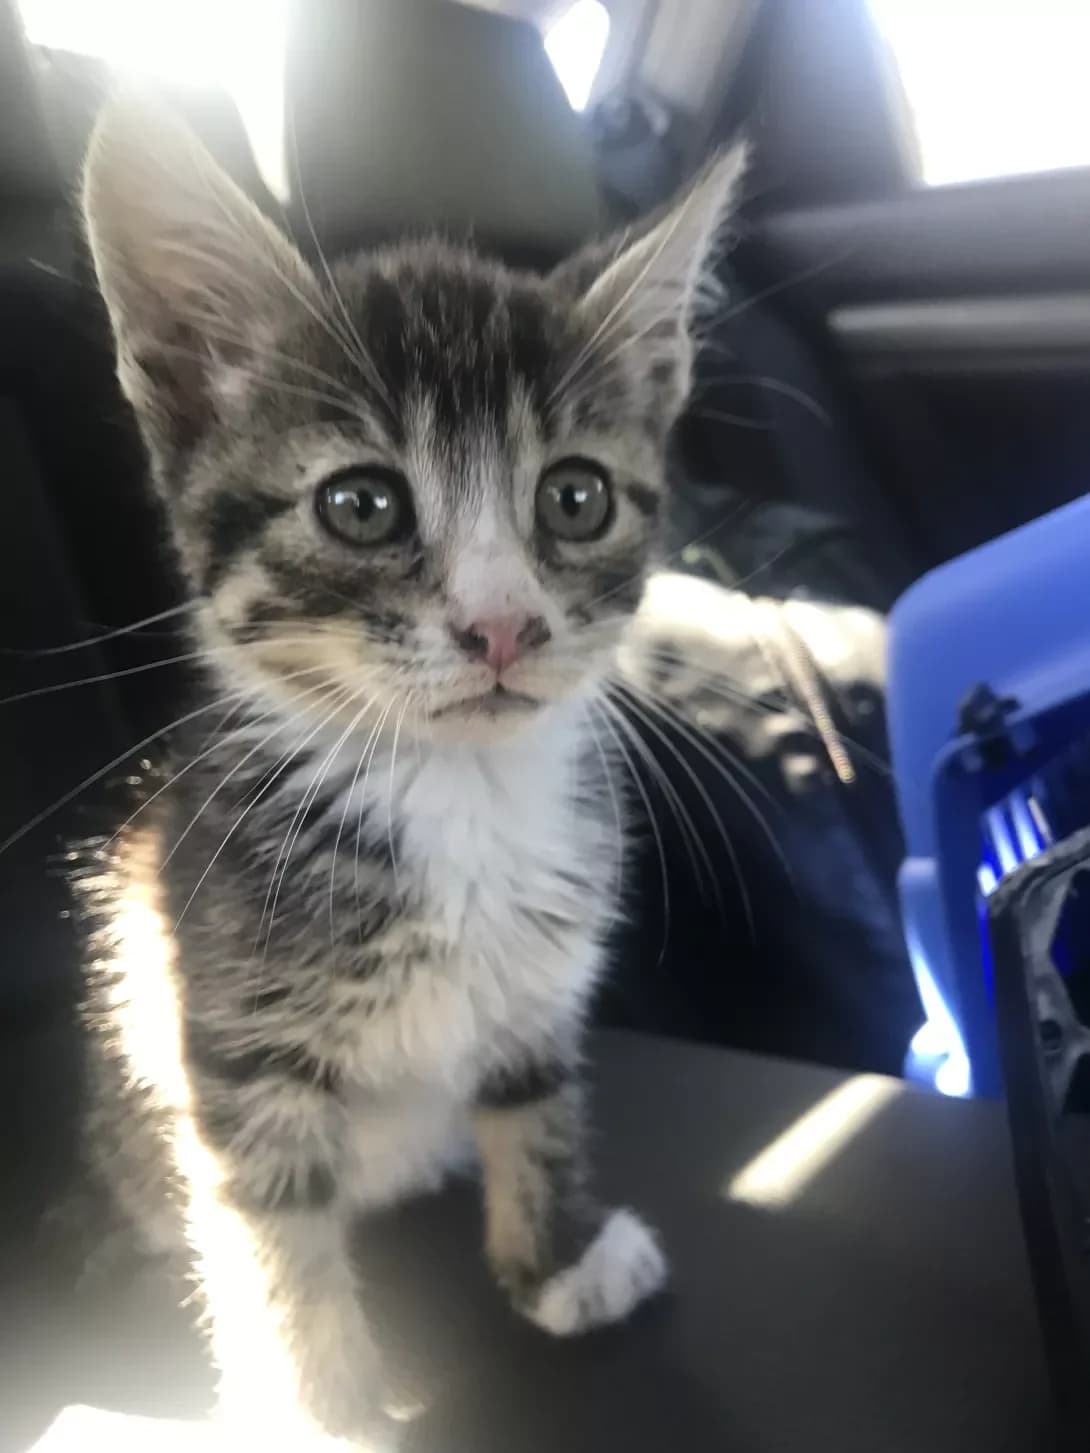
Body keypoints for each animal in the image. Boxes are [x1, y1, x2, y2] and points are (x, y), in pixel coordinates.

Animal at [76, 95, 744, 1446]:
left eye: (576, 497)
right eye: (363, 505)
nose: (503, 627)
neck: (456, 797)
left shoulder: (542, 981)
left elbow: (536, 1110)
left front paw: (555, 1264)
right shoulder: (233, 1049)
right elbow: (273, 1245)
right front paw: (318, 1409)